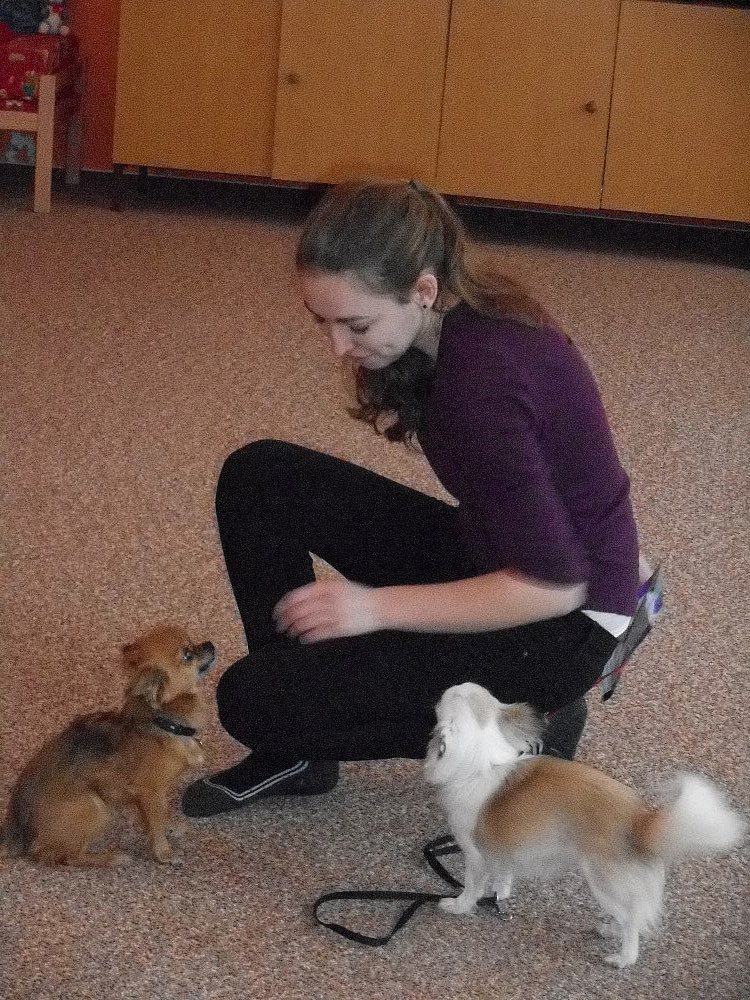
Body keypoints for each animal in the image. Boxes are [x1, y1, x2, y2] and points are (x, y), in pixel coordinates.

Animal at [1, 624, 215, 867]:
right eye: (188, 655)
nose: (210, 644)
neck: (165, 723)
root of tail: (17, 833)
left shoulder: (158, 793)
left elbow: (162, 814)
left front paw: (171, 826)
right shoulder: (149, 792)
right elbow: (155, 826)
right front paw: (164, 854)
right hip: (96, 807)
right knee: (64, 857)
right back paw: (111, 857)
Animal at [424, 682, 746, 968]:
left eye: (442, 701)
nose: (447, 687)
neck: (483, 762)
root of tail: (640, 820)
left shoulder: (475, 854)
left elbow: (471, 887)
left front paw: (458, 906)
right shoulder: (503, 849)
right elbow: (503, 876)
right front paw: (499, 895)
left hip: (603, 883)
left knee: (632, 920)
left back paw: (623, 957)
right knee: (634, 914)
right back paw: (612, 930)